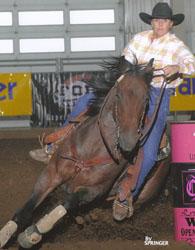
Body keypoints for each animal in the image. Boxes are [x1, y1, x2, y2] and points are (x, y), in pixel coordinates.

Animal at [0, 56, 171, 248]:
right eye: (118, 95)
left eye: (146, 99)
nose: (128, 141)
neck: (91, 150)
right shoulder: (50, 175)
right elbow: (25, 210)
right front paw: (4, 236)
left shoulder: (95, 190)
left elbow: (68, 202)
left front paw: (34, 232)